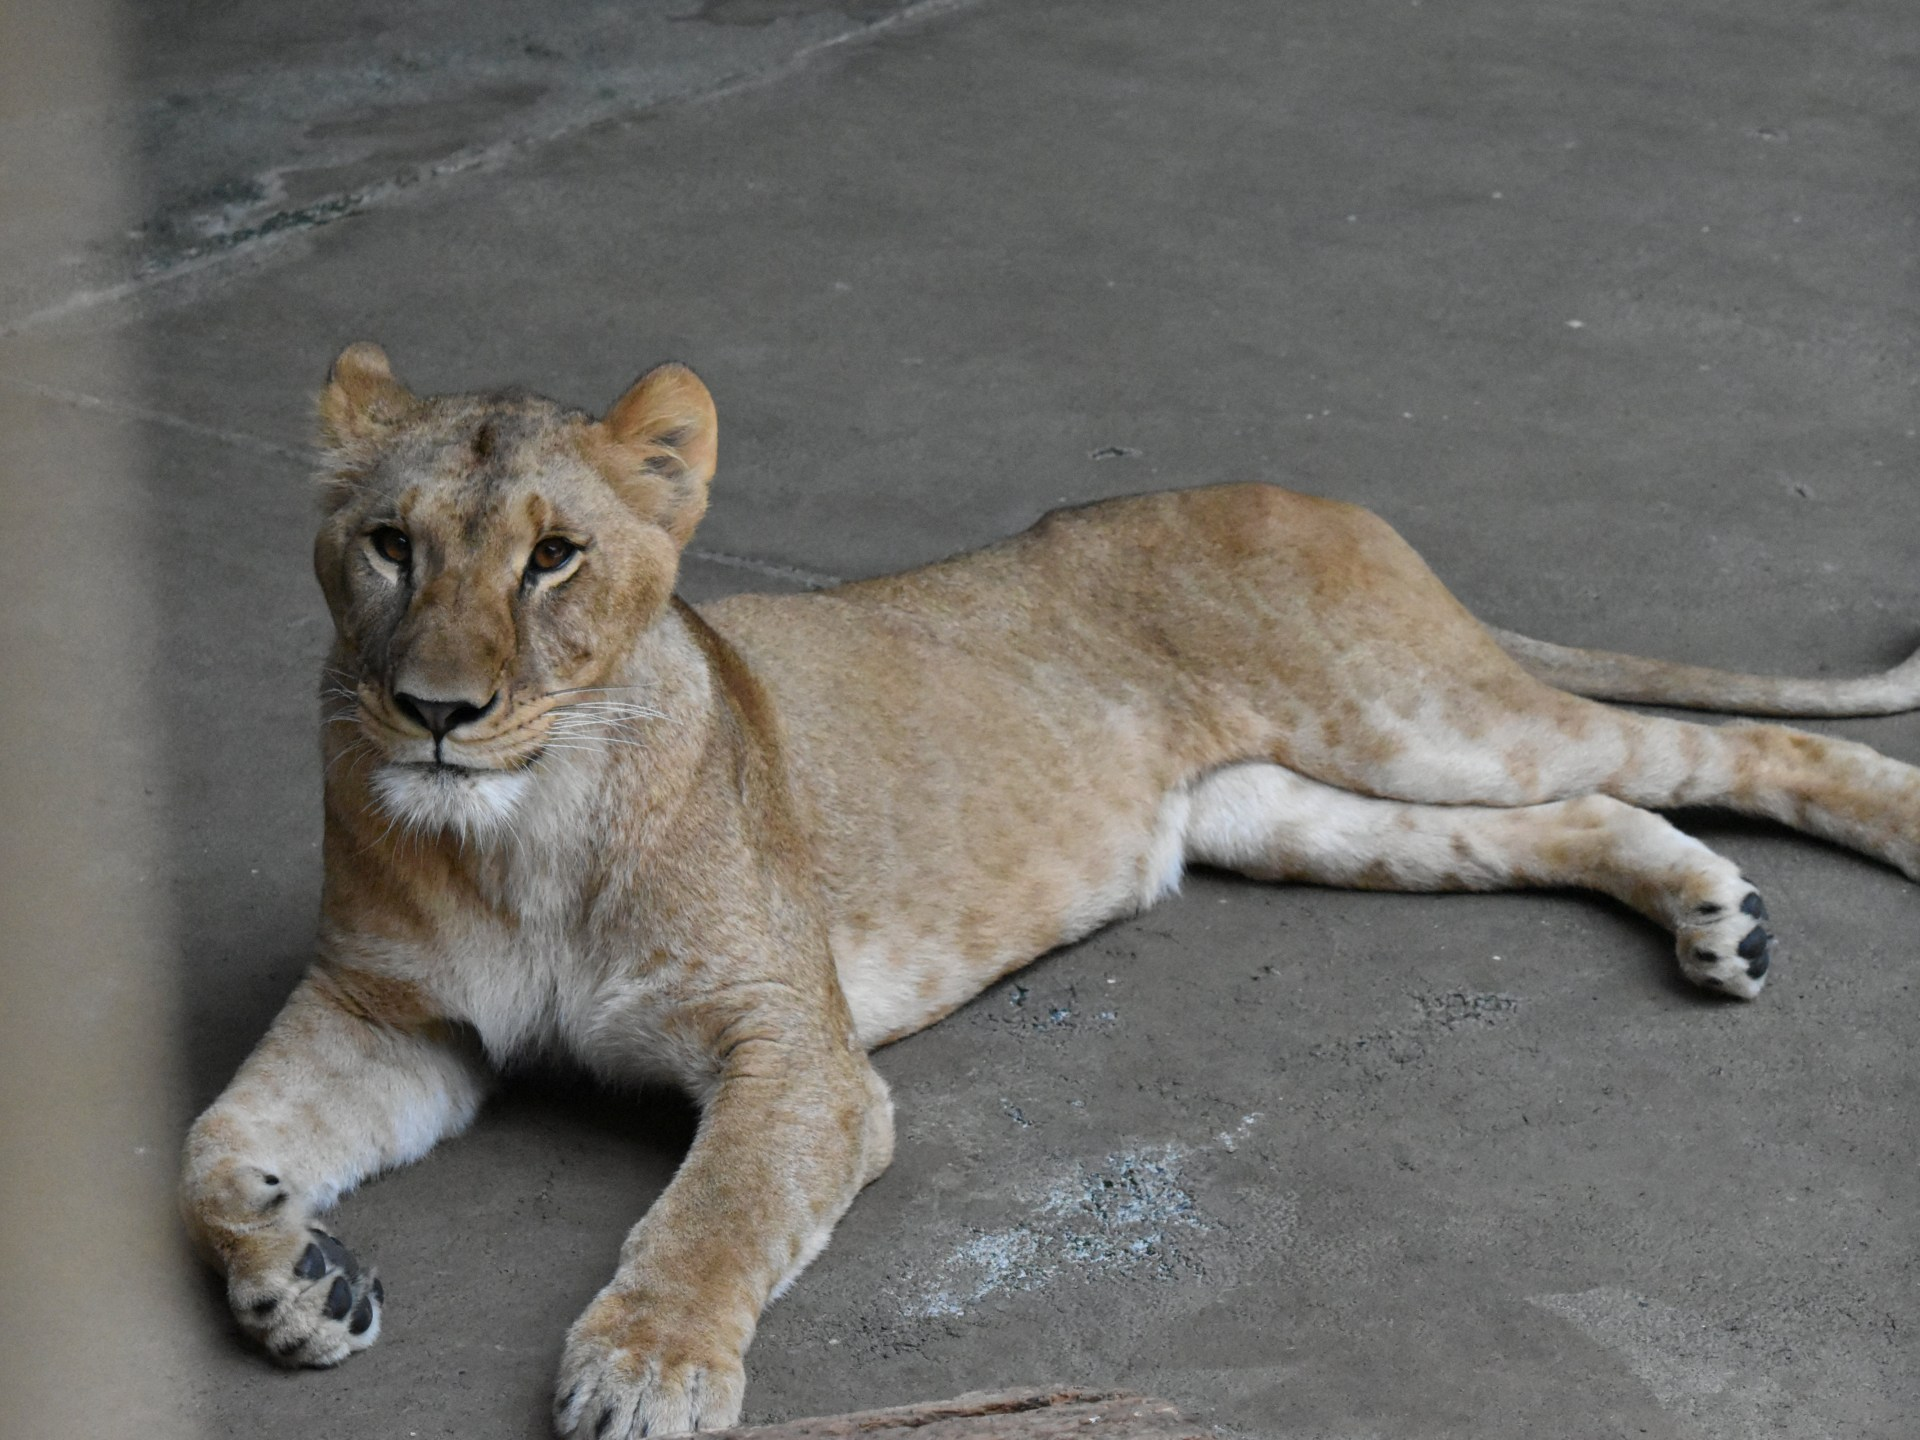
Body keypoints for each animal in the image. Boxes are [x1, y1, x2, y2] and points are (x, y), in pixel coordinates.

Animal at [181, 344, 1920, 1438]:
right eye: (389, 545)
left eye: (553, 557)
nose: (435, 711)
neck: (517, 830)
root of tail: (1307, 493)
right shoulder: (394, 1019)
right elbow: (210, 1155)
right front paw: (298, 1282)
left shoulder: (792, 1049)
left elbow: (715, 1210)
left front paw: (646, 1372)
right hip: (1297, 809)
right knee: (1590, 808)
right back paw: (1716, 917)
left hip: (1417, 716)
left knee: (1721, 743)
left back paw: (1873, 840)